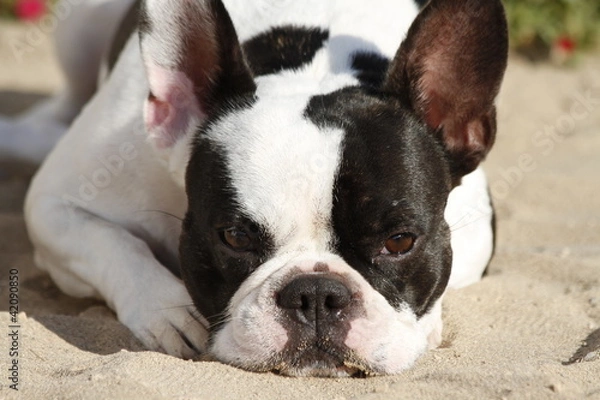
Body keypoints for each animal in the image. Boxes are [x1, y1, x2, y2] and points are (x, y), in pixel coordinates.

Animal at [8, 0, 506, 376]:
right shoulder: (55, 205)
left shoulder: (478, 229)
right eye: (235, 237)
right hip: (77, 28)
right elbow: (114, 245)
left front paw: (427, 325)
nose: (316, 293)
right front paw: (166, 310)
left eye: (400, 241)